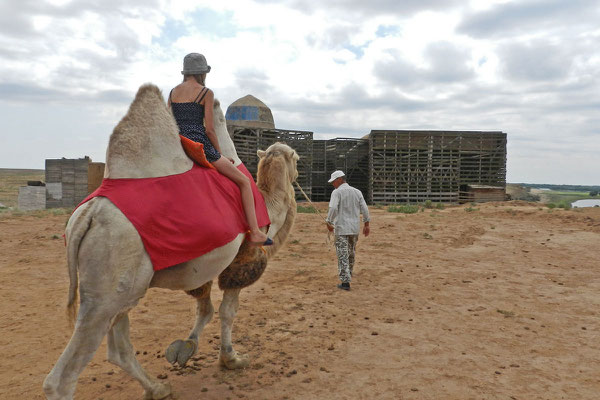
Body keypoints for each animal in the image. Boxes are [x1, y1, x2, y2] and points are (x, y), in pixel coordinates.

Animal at [42, 84, 298, 400]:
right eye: (298, 159)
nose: (298, 174)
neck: (268, 205)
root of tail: (86, 217)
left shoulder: (206, 265)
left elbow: (205, 308)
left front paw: (185, 349)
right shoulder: (243, 257)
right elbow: (227, 312)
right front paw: (231, 359)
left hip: (124, 291)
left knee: (118, 348)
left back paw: (157, 387)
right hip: (104, 293)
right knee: (62, 378)